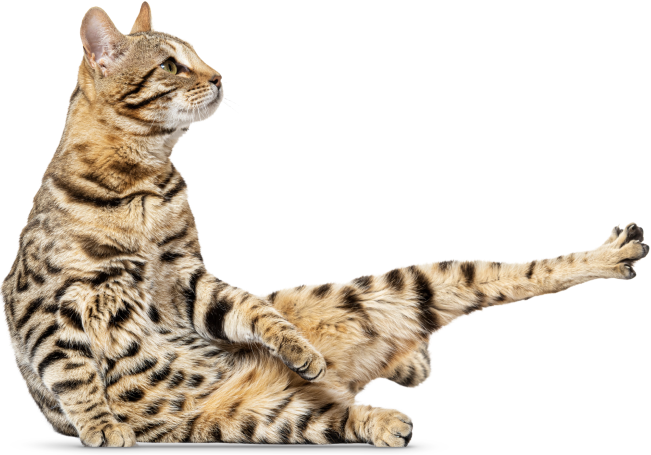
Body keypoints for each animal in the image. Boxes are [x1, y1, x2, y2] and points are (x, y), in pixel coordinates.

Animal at [0, 1, 648, 447]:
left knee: (518, 273)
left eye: (198, 55)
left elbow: (248, 308)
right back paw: (384, 411)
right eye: (170, 65)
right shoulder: (47, 301)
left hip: (399, 287)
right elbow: (70, 368)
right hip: (265, 417)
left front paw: (295, 344)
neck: (142, 181)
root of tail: (346, 375)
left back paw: (612, 254)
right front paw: (99, 423)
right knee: (345, 411)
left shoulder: (184, 278)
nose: (218, 77)